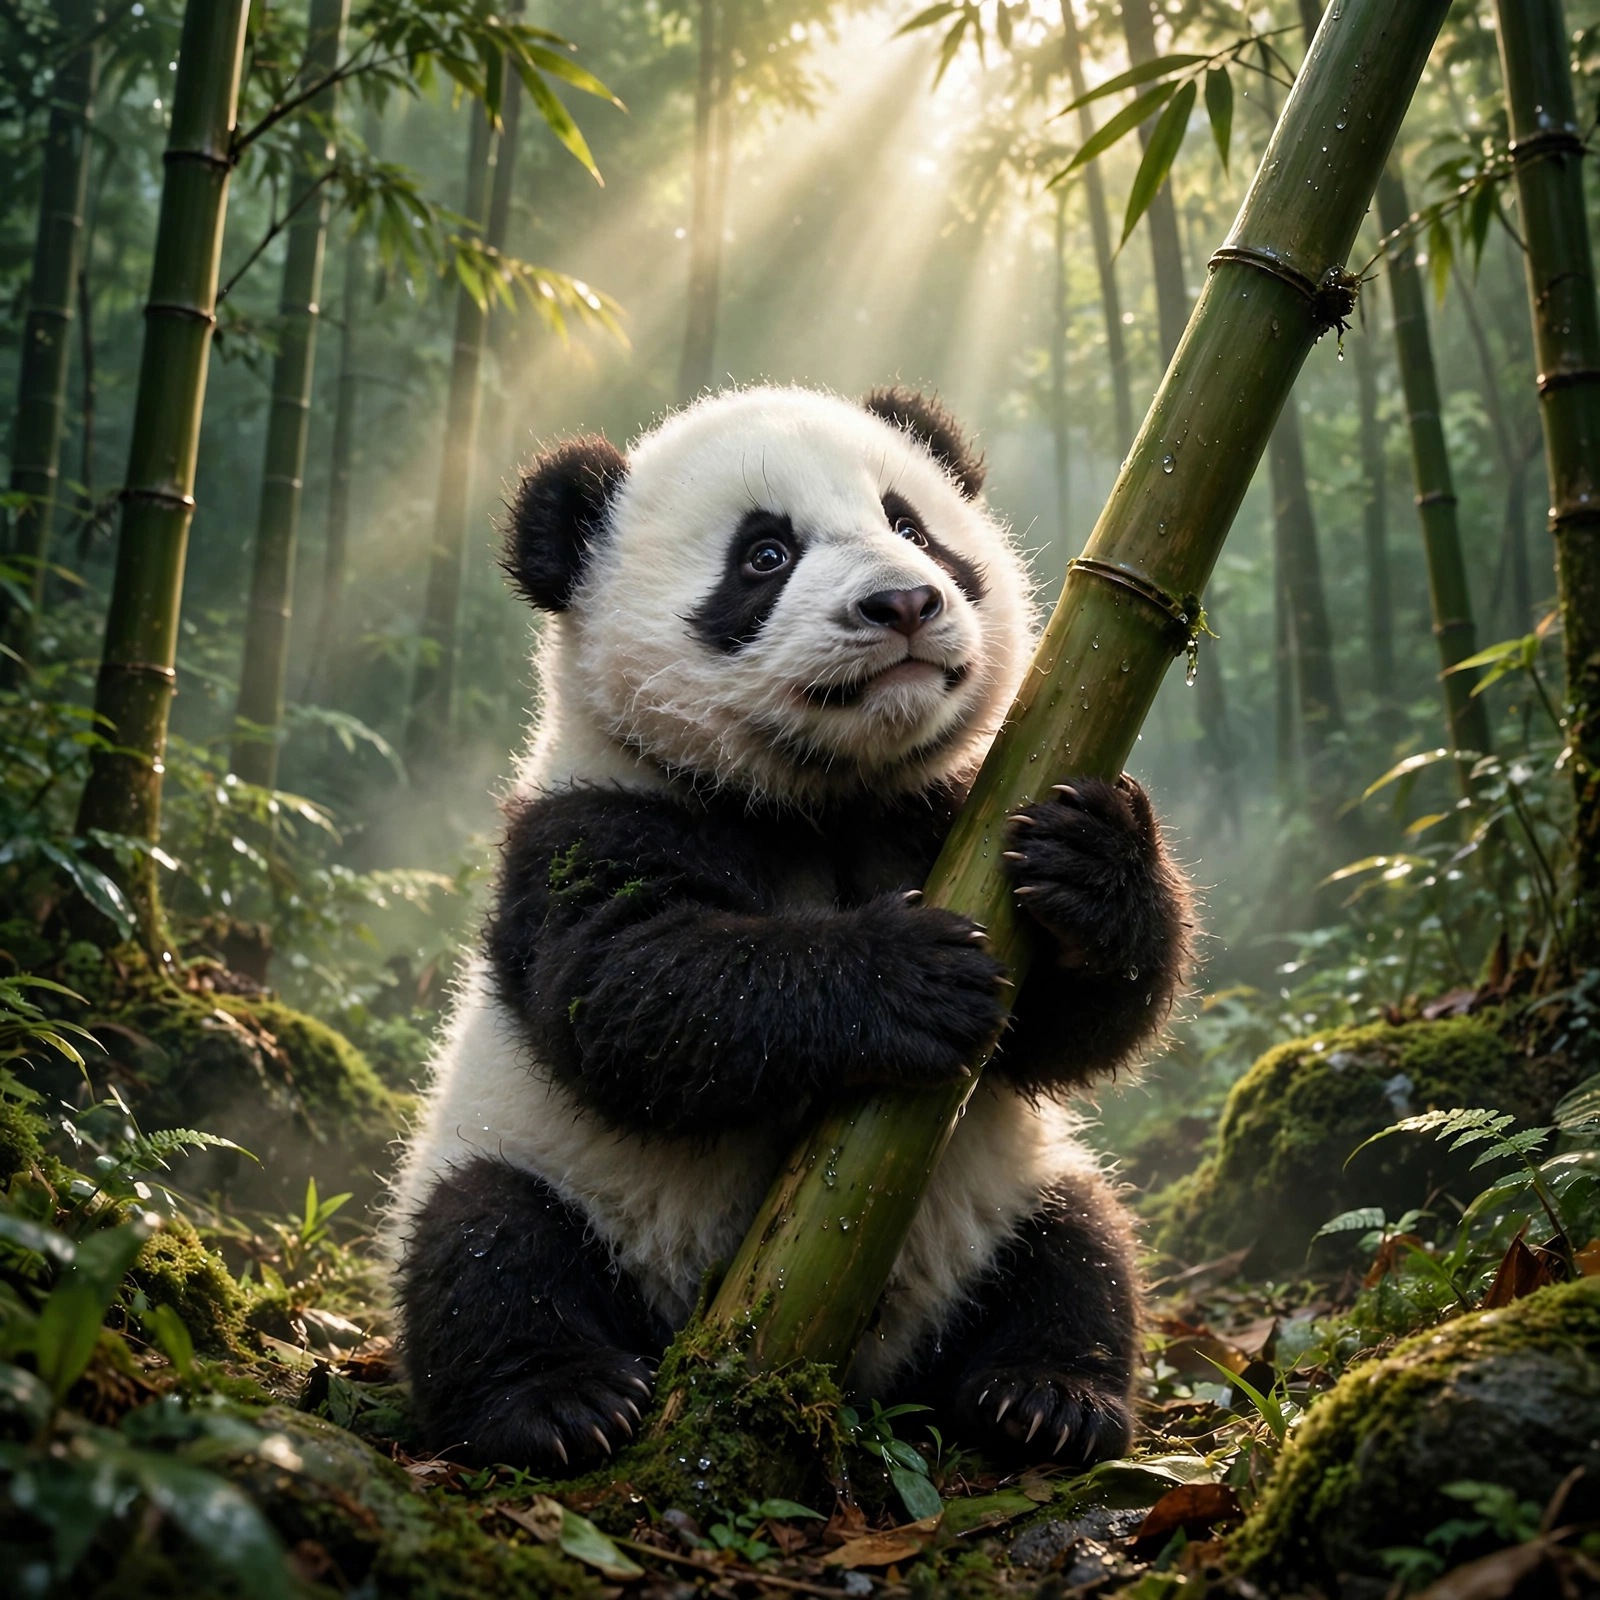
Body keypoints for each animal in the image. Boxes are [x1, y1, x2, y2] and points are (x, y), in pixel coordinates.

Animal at [388, 384, 1191, 1476]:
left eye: (911, 526)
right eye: (764, 556)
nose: (904, 603)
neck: (822, 798)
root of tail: (862, 1373)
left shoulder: (950, 812)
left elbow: (1066, 1034)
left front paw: (1091, 859)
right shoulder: (589, 824)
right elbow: (633, 997)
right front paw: (907, 975)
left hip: (998, 1201)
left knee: (1080, 1245)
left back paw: (1043, 1398)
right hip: (535, 1171)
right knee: (485, 1244)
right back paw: (560, 1403)